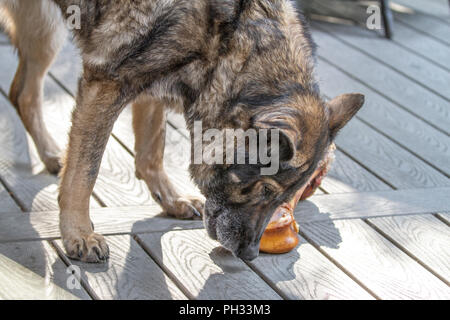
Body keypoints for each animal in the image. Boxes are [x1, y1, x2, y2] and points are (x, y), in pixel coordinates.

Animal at [0, 0, 364, 262]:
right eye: (262, 189)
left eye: (286, 198)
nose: (249, 255)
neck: (229, 36)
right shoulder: (108, 85)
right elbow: (84, 173)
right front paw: (78, 234)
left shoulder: (152, 88)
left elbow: (151, 154)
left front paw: (171, 200)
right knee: (24, 93)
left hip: (44, 32)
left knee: (22, 93)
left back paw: (51, 154)